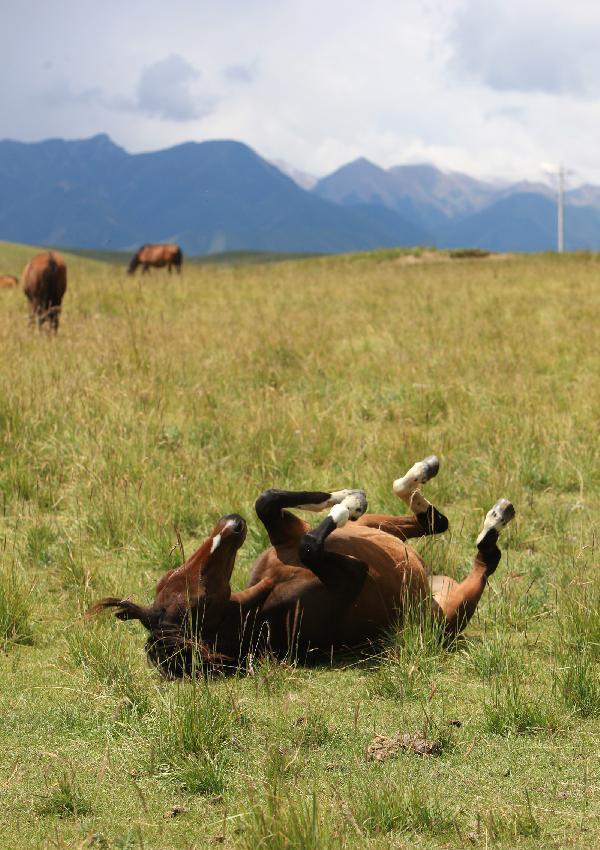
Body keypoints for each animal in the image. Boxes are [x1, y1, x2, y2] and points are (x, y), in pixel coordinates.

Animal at [89, 458, 516, 676]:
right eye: (201, 599)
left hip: (386, 531)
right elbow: (311, 545)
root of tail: (434, 586)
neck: (262, 600)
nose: (229, 526)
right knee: (483, 559)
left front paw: (344, 496)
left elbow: (267, 500)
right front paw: (349, 501)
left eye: (173, 577)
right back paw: (496, 517)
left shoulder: (284, 533)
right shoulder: (349, 576)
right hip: (450, 613)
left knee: (431, 521)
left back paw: (421, 473)